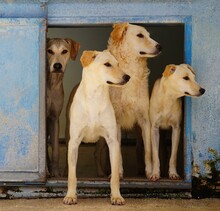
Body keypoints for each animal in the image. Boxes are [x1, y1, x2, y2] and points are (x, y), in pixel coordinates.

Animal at [62, 49, 130, 206]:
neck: (95, 95)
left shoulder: (112, 141)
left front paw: (116, 196)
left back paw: (100, 172)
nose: (127, 77)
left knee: (96, 153)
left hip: (102, 141)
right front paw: (70, 196)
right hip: (68, 135)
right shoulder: (74, 141)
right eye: (107, 64)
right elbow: (72, 175)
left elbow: (115, 176)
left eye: (118, 64)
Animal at [108, 23, 162, 178]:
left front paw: (150, 172)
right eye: (140, 35)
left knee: (139, 147)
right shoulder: (116, 121)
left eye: (149, 35)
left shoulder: (145, 120)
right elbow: (118, 153)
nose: (160, 46)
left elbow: (148, 150)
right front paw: (118, 173)